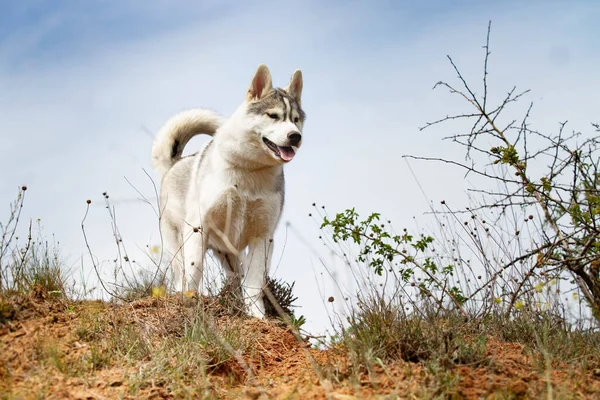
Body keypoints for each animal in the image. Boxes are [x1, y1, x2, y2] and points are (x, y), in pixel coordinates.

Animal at [150, 64, 304, 318]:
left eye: (295, 119)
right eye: (273, 116)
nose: (295, 136)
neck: (249, 170)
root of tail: (175, 163)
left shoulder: (263, 236)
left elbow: (254, 284)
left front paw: (257, 315)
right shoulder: (198, 227)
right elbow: (194, 272)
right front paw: (191, 301)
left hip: (231, 255)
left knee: (235, 281)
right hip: (178, 245)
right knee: (181, 274)